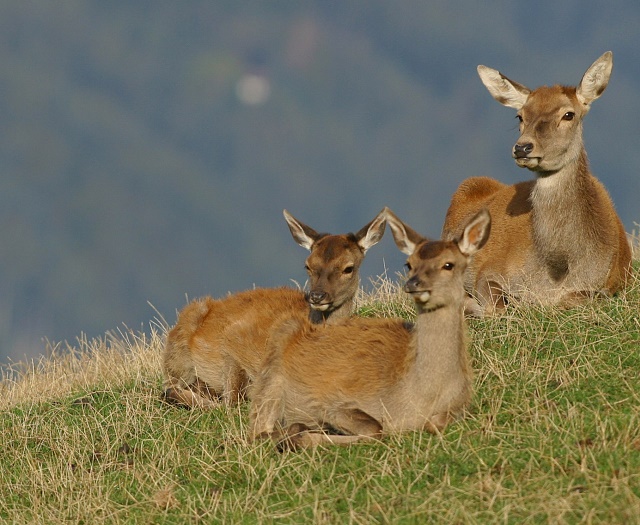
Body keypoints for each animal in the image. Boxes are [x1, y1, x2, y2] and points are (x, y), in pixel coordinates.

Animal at [162, 208, 388, 406]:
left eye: (348, 268)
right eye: (308, 265)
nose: (317, 295)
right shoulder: (235, 337)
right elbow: (232, 401)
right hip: (181, 342)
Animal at [250, 207, 490, 448]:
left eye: (449, 264)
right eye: (409, 264)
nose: (413, 284)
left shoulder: (461, 409)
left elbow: (434, 424)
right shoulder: (334, 404)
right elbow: (375, 428)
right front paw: (304, 437)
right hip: (271, 376)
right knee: (258, 428)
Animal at [442, 52, 632, 316]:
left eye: (568, 114)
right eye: (520, 116)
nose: (522, 147)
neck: (557, 271)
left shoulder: (613, 283)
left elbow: (576, 298)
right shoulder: (489, 268)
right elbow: (496, 306)